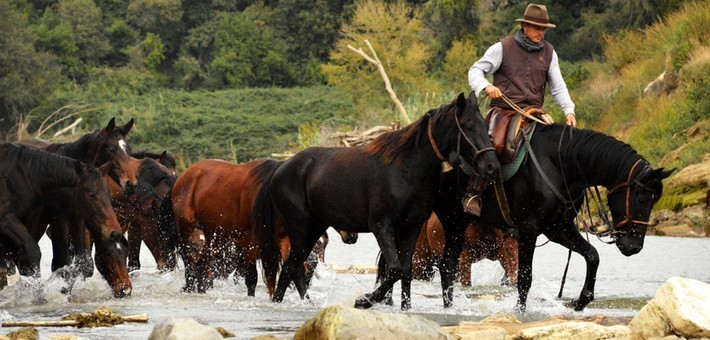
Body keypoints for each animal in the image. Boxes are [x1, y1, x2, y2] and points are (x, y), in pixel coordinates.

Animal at [0, 143, 133, 298]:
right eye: (91, 194)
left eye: (125, 253)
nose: (125, 289)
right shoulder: (8, 219)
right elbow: (38, 254)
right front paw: (41, 295)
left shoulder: (69, 219)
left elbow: (80, 263)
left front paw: (63, 289)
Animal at [253, 91, 498, 310]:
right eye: (468, 126)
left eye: (485, 126)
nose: (491, 166)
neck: (404, 169)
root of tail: (280, 168)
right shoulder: (382, 227)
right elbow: (395, 269)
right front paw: (364, 300)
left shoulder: (411, 227)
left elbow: (405, 270)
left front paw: (404, 308)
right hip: (301, 230)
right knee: (292, 268)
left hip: (314, 228)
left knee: (290, 269)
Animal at [436, 124, 676, 310]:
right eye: (641, 200)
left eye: (654, 201)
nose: (633, 246)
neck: (560, 165)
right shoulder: (529, 229)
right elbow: (525, 278)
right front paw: (519, 311)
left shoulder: (558, 228)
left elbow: (592, 255)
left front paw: (580, 301)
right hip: (451, 222)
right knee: (446, 265)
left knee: (448, 265)